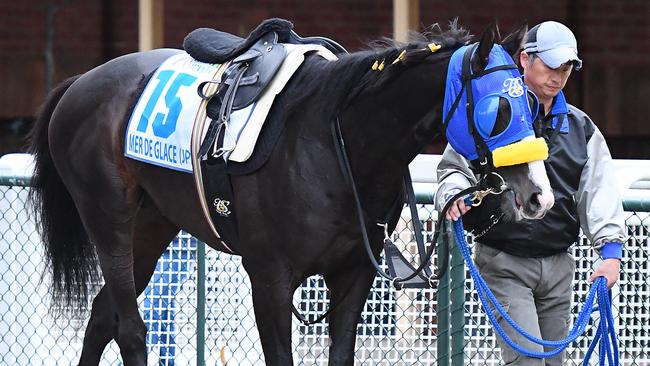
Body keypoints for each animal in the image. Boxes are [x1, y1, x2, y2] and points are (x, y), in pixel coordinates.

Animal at [29, 21, 548, 364]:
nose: (538, 195)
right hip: (108, 217)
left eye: (533, 102)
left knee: (103, 316)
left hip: (153, 222)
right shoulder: (270, 281)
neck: (337, 145)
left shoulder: (352, 277)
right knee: (131, 329)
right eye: (500, 108)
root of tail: (81, 82)